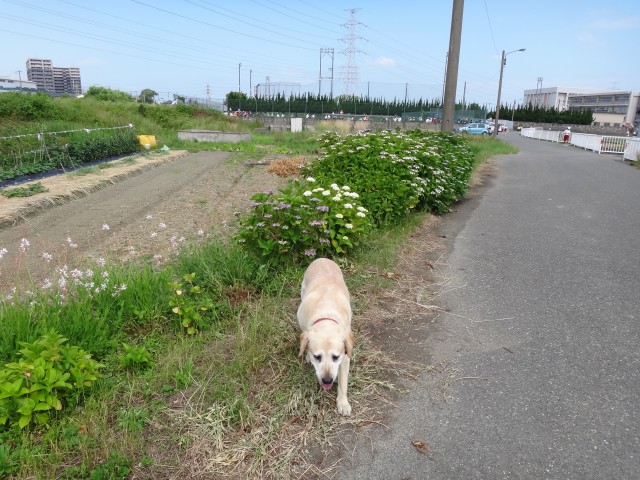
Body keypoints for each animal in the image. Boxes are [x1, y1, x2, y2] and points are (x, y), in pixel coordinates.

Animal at [298, 258, 356, 416]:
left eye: (336, 357)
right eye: (317, 357)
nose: (327, 380)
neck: (326, 314)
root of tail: (322, 258)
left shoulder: (345, 357)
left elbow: (343, 383)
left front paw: (343, 402)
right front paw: (306, 354)